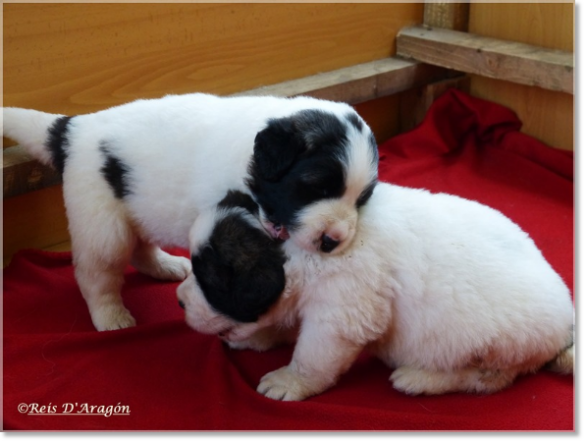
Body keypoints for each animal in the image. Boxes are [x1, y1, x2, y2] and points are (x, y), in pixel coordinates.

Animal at [2, 93, 376, 332]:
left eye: (362, 198)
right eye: (315, 188)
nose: (332, 240)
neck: (249, 158)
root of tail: (72, 129)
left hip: (139, 206)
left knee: (140, 248)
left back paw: (166, 265)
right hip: (102, 222)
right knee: (96, 273)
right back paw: (111, 316)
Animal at [177, 182, 572, 400]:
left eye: (209, 280)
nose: (179, 300)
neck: (301, 247)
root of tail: (567, 323)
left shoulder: (341, 310)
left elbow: (313, 354)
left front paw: (291, 380)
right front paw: (261, 337)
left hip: (498, 343)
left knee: (488, 378)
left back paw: (421, 378)